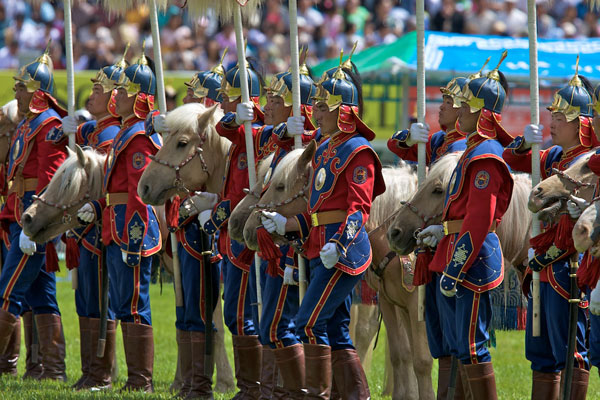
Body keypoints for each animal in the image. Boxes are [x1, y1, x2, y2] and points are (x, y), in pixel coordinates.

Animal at [241, 142, 434, 398]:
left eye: (279, 185)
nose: (247, 230)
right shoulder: (391, 302)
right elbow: (402, 354)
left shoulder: (415, 303)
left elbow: (422, 360)